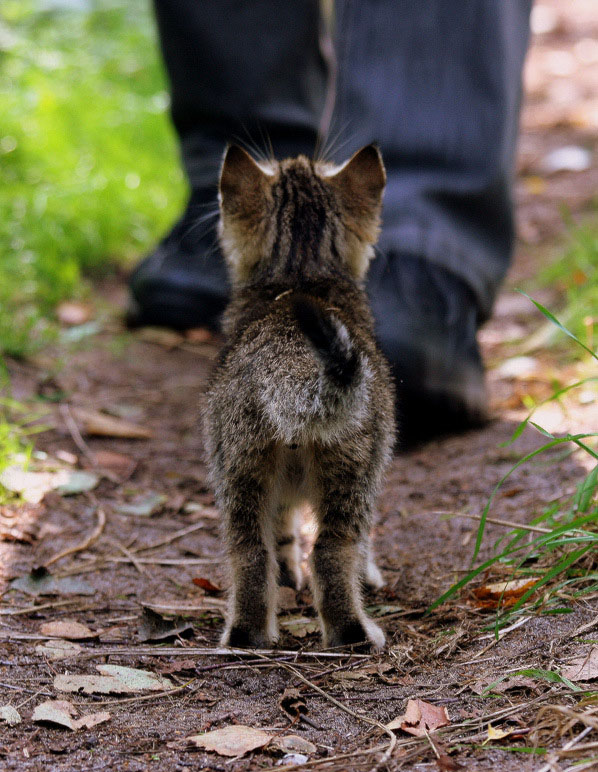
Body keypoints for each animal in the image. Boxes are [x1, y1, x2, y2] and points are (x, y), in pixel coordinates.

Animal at [209, 145, 396, 652]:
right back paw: (356, 634)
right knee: (332, 551)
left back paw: (246, 635)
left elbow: (282, 537)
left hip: (239, 468)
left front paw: (287, 575)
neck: (300, 274)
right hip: (355, 468)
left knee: (250, 553)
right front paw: (371, 574)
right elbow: (357, 546)